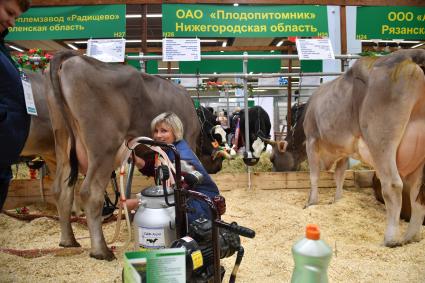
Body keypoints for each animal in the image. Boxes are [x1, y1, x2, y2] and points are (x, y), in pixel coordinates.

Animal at [45, 51, 201, 262]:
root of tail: (73, 58)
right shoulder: (189, 138)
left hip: (62, 139)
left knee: (61, 189)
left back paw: (68, 240)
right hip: (103, 145)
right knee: (90, 193)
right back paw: (101, 250)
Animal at [304, 50, 424, 247]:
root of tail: (410, 56)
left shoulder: (311, 139)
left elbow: (314, 175)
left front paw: (311, 202)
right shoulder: (343, 151)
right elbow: (340, 176)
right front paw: (336, 200)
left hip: (381, 140)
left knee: (393, 185)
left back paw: (390, 239)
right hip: (418, 156)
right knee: (417, 194)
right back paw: (410, 238)